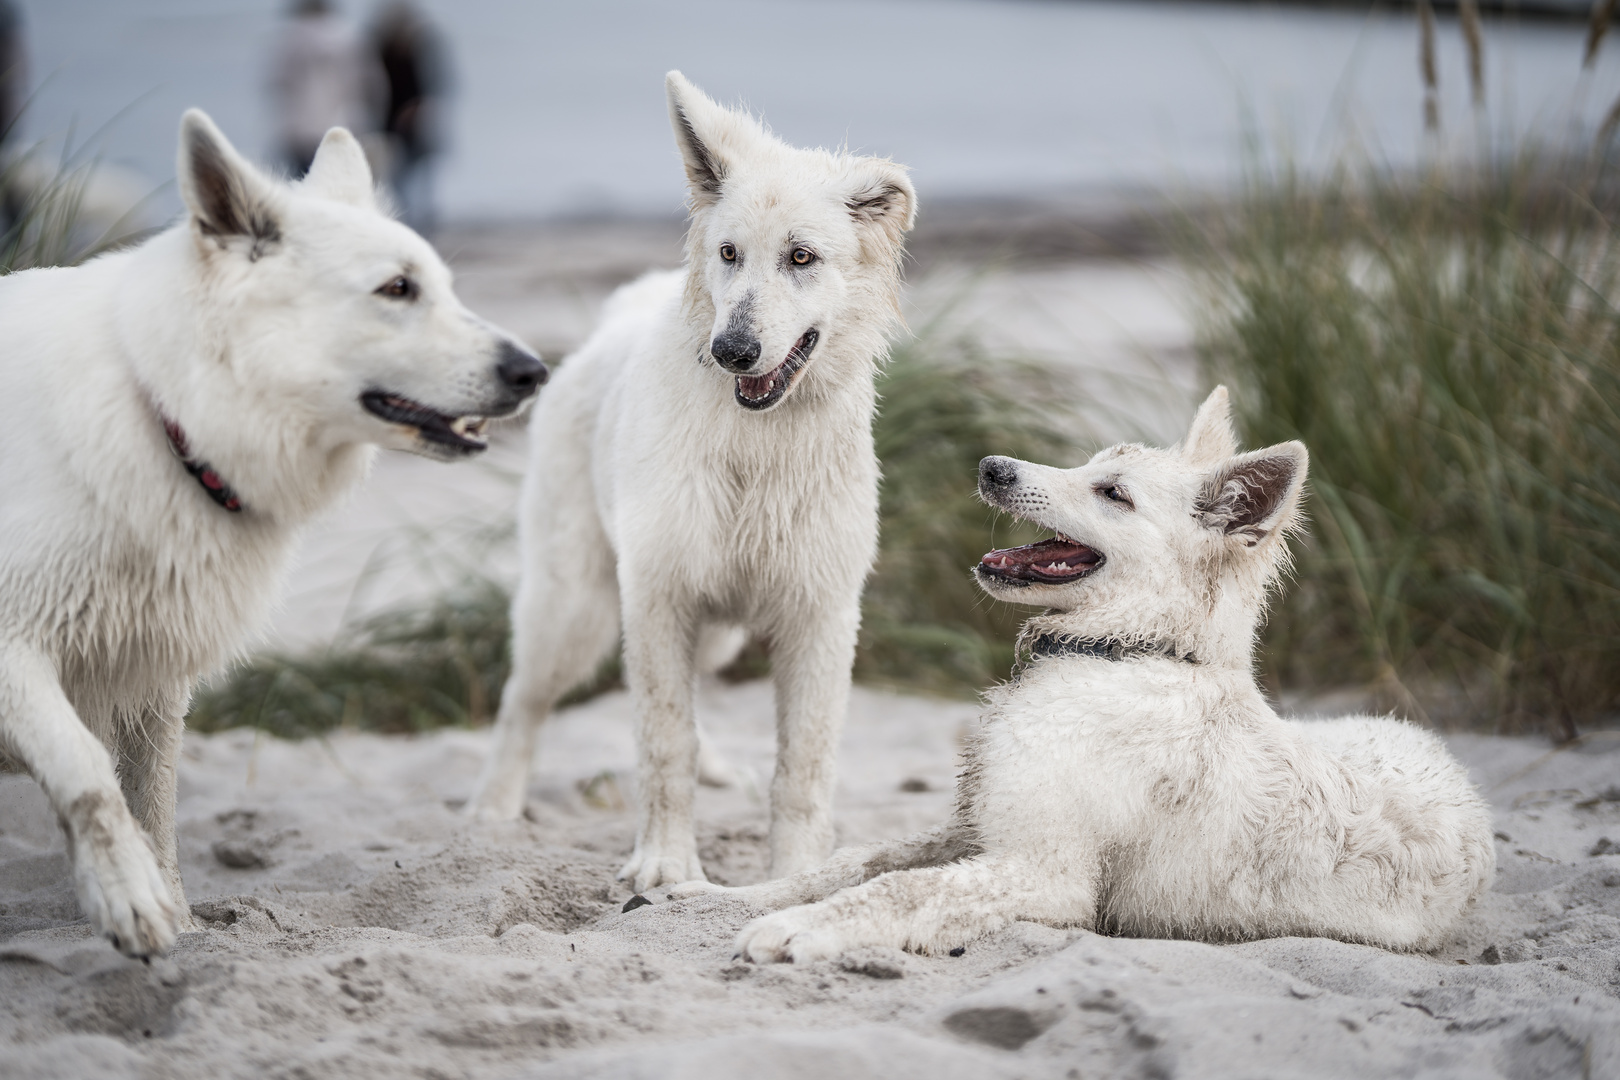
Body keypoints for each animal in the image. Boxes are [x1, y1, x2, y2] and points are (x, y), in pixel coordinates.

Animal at [0, 110, 544, 952]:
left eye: (443, 285)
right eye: (397, 288)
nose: (535, 371)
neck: (168, 411)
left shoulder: (152, 675)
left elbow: (152, 805)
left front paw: (181, 919)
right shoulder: (20, 652)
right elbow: (87, 775)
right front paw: (128, 895)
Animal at [473, 71, 920, 893]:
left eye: (801, 257)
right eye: (729, 253)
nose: (732, 350)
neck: (756, 444)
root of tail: (616, 318)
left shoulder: (818, 615)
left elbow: (803, 766)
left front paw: (793, 875)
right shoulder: (659, 597)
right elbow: (662, 742)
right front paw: (665, 866)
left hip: (711, 630)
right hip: (573, 610)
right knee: (524, 699)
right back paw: (492, 810)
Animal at [680, 390, 1490, 965]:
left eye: (1113, 493)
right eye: (1089, 467)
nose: (992, 467)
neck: (1127, 650)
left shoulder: (1045, 866)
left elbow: (902, 885)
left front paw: (795, 928)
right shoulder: (977, 824)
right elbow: (862, 859)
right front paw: (726, 895)